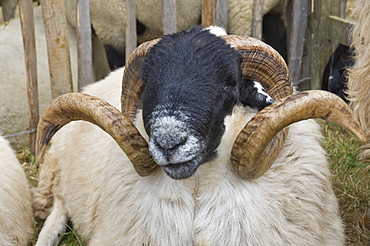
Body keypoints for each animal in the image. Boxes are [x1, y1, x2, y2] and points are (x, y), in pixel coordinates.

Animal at [32, 26, 364, 245]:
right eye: (148, 82)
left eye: (231, 83)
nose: (168, 142)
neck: (197, 189)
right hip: (58, 169)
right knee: (57, 207)